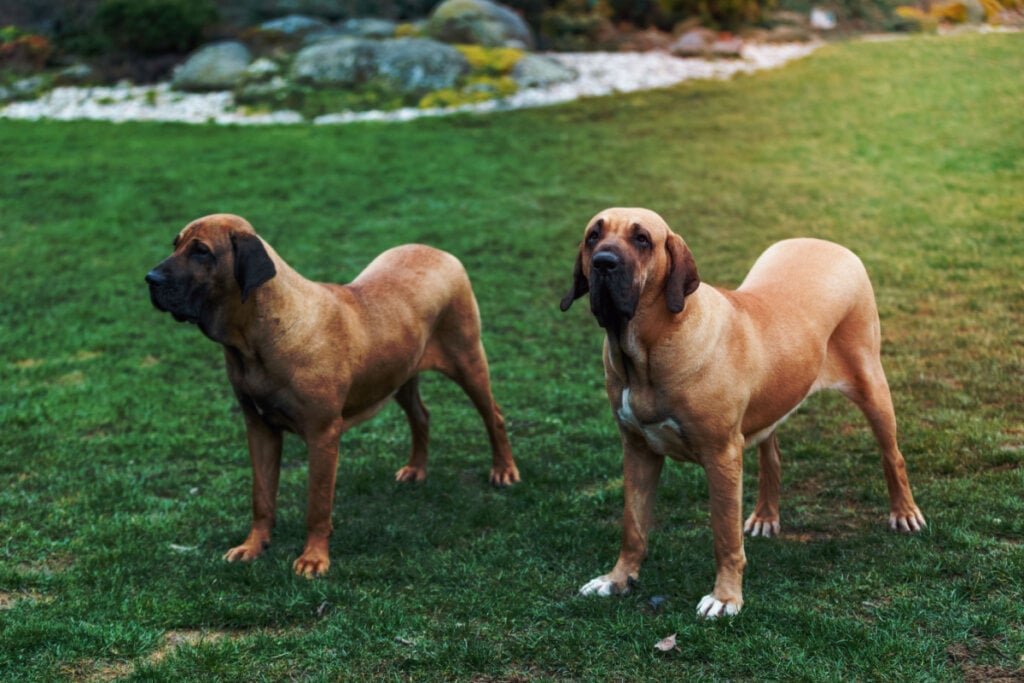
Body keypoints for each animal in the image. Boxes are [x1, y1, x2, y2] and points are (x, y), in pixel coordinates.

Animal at [144, 214, 520, 577]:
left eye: (201, 251)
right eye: (176, 244)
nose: (150, 278)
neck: (257, 337)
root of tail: (439, 252)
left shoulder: (323, 434)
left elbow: (318, 504)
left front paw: (313, 559)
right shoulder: (259, 428)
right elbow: (261, 496)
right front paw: (252, 546)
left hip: (467, 359)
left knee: (494, 414)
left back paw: (504, 470)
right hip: (398, 374)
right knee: (421, 415)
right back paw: (416, 469)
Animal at [561, 208, 929, 618]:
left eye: (642, 239)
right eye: (593, 235)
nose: (603, 262)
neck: (645, 352)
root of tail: (829, 244)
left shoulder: (721, 454)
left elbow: (724, 532)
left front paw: (725, 597)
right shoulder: (638, 449)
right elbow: (633, 524)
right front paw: (617, 579)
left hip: (871, 382)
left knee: (892, 454)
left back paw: (904, 512)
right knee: (772, 454)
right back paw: (766, 516)